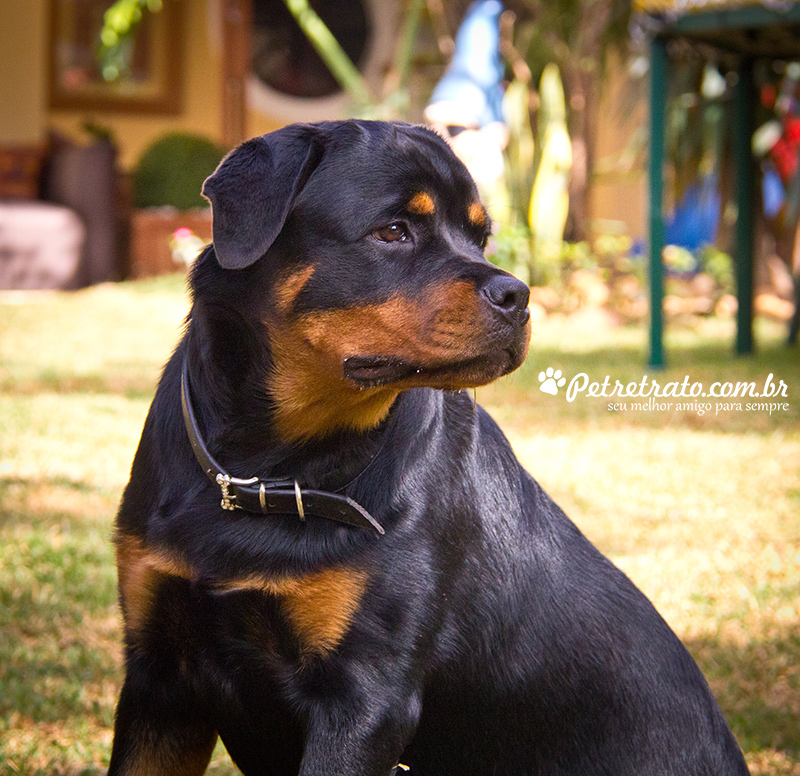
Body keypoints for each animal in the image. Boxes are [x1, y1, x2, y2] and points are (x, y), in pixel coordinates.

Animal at [108, 121, 752, 776]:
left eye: (480, 236)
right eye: (394, 231)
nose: (518, 295)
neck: (267, 467)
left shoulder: (366, 697)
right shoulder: (159, 678)